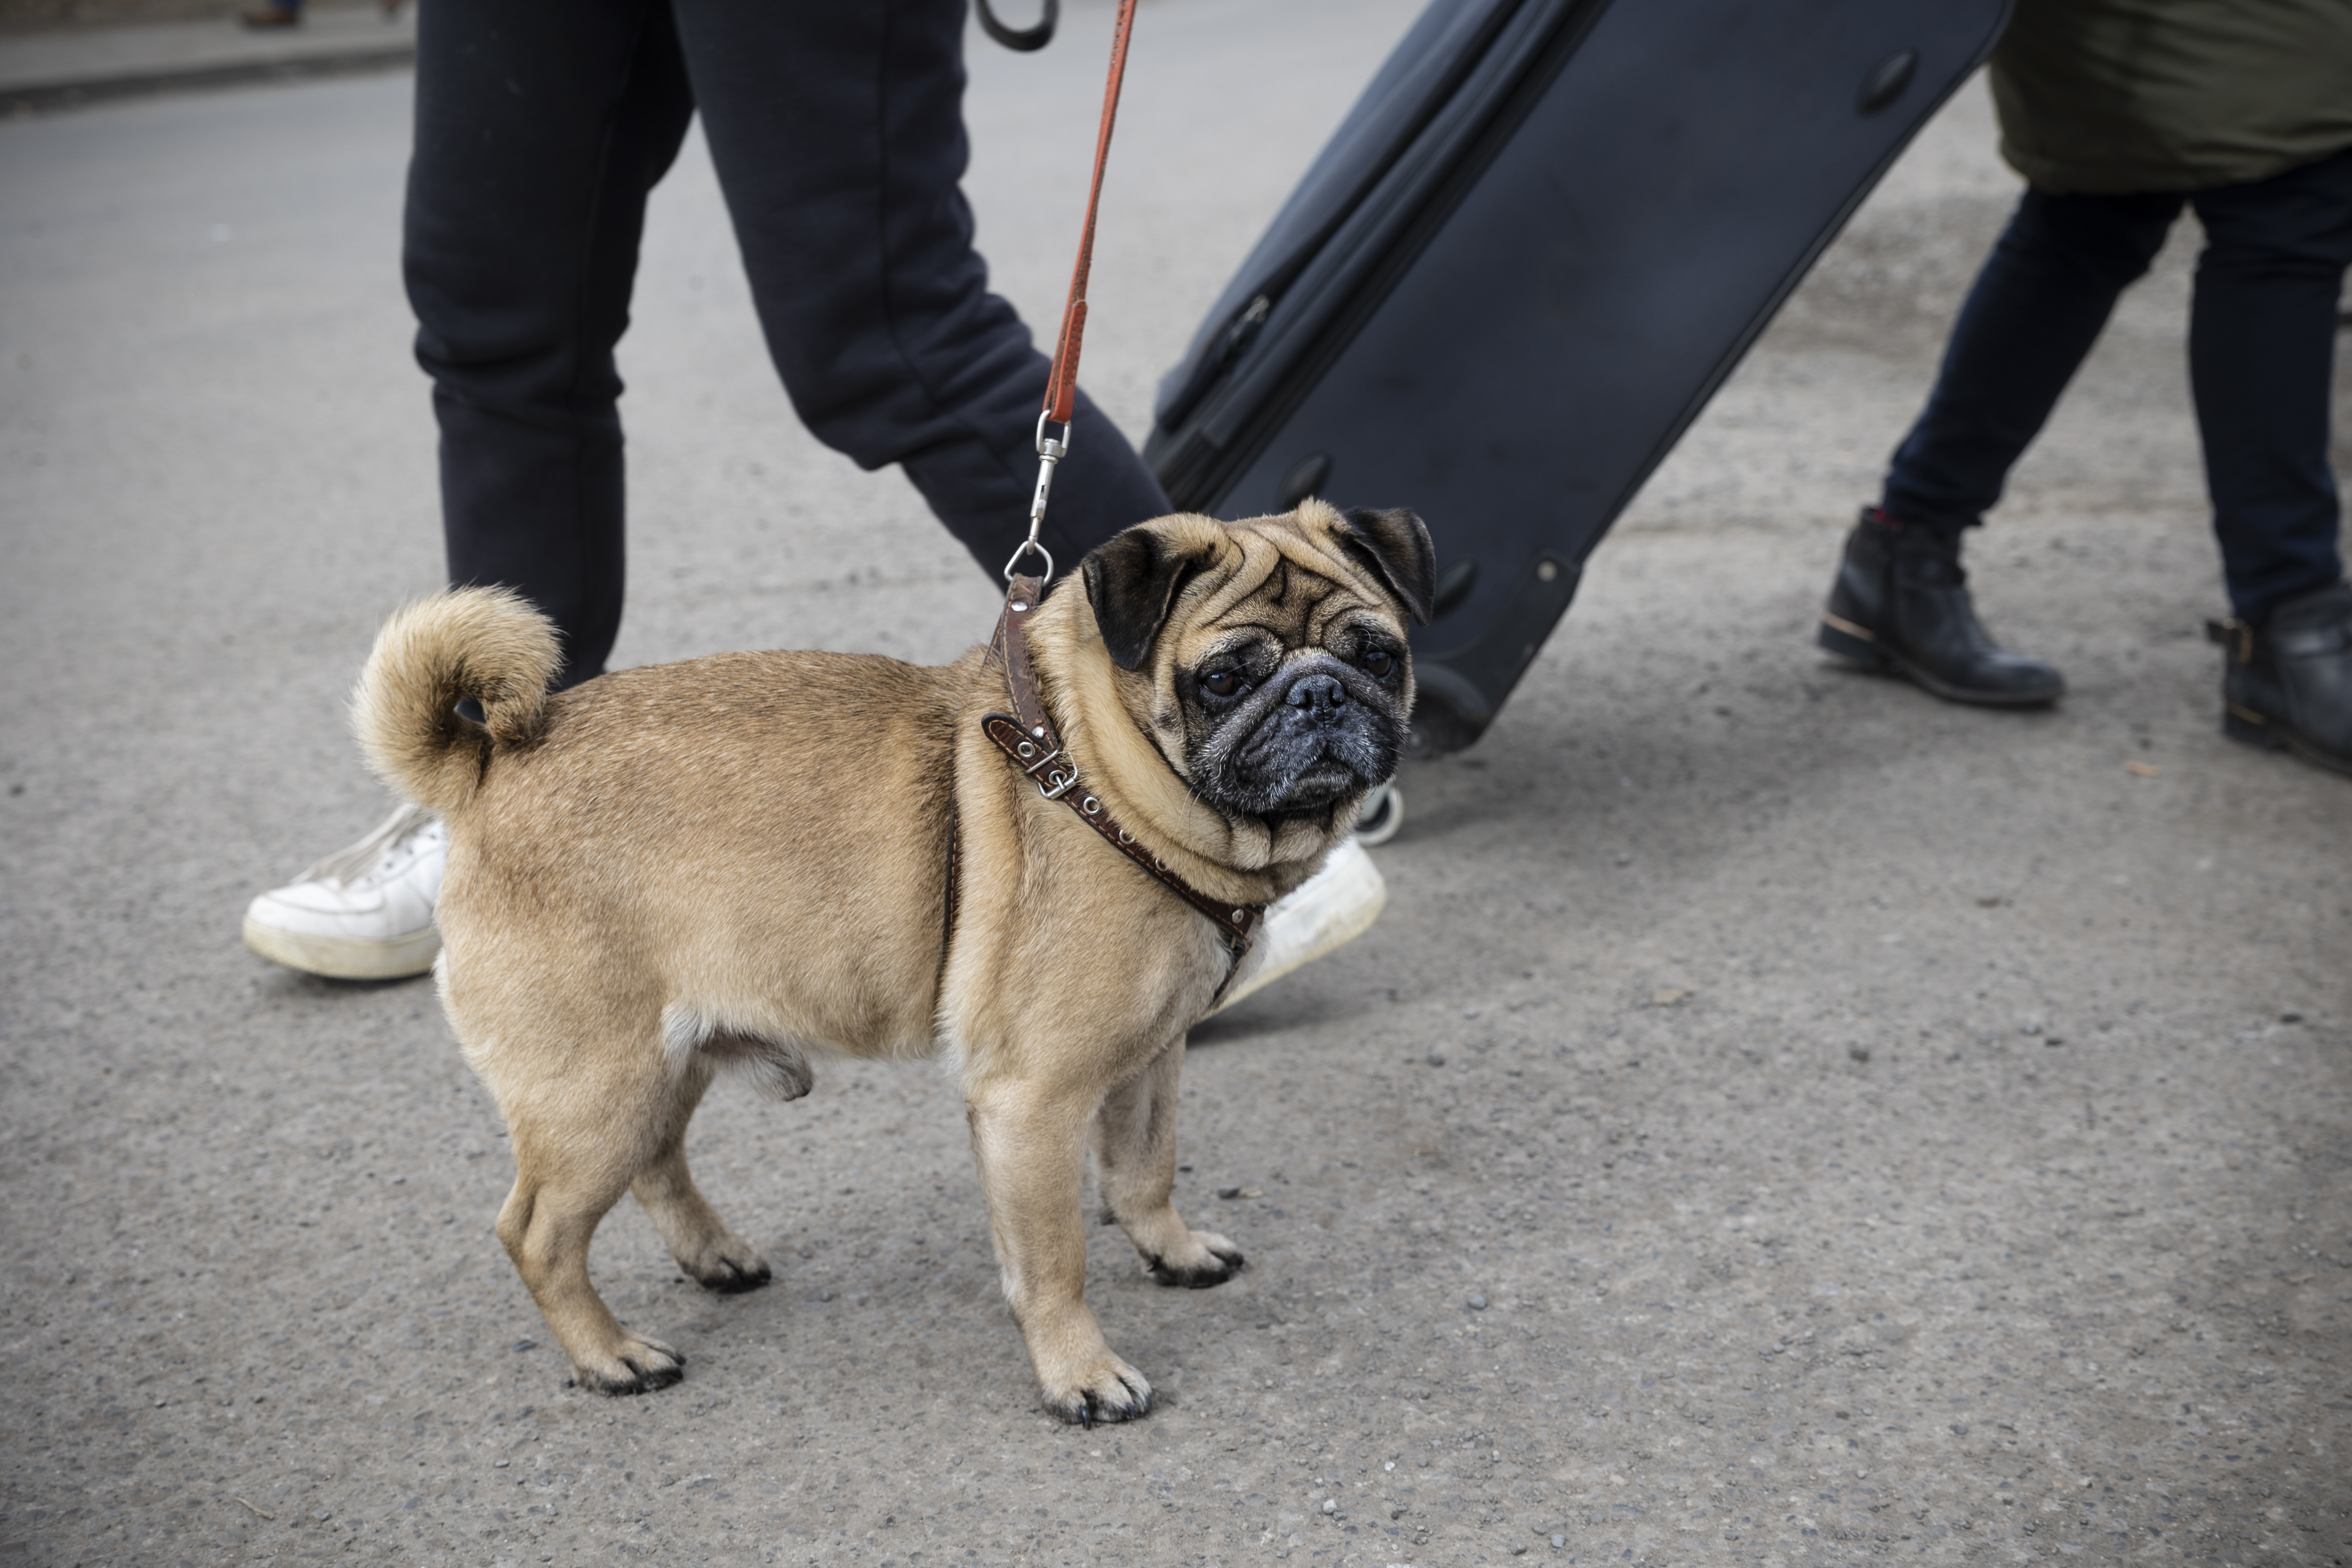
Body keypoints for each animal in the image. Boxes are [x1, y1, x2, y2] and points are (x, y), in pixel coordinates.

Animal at [352, 500, 1430, 1420]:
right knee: (539, 1235)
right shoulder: (1033, 1102)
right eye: (1224, 681)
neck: (1100, 777)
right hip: (593, 1091)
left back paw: (715, 1261)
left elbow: (1143, 1173)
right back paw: (612, 1356)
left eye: (1381, 655)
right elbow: (1055, 1261)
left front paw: (1175, 1252)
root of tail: (487, 766)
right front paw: (1080, 1377)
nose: (1322, 693)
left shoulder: (1147, 1061)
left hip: (659, 1065)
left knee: (657, 1165)